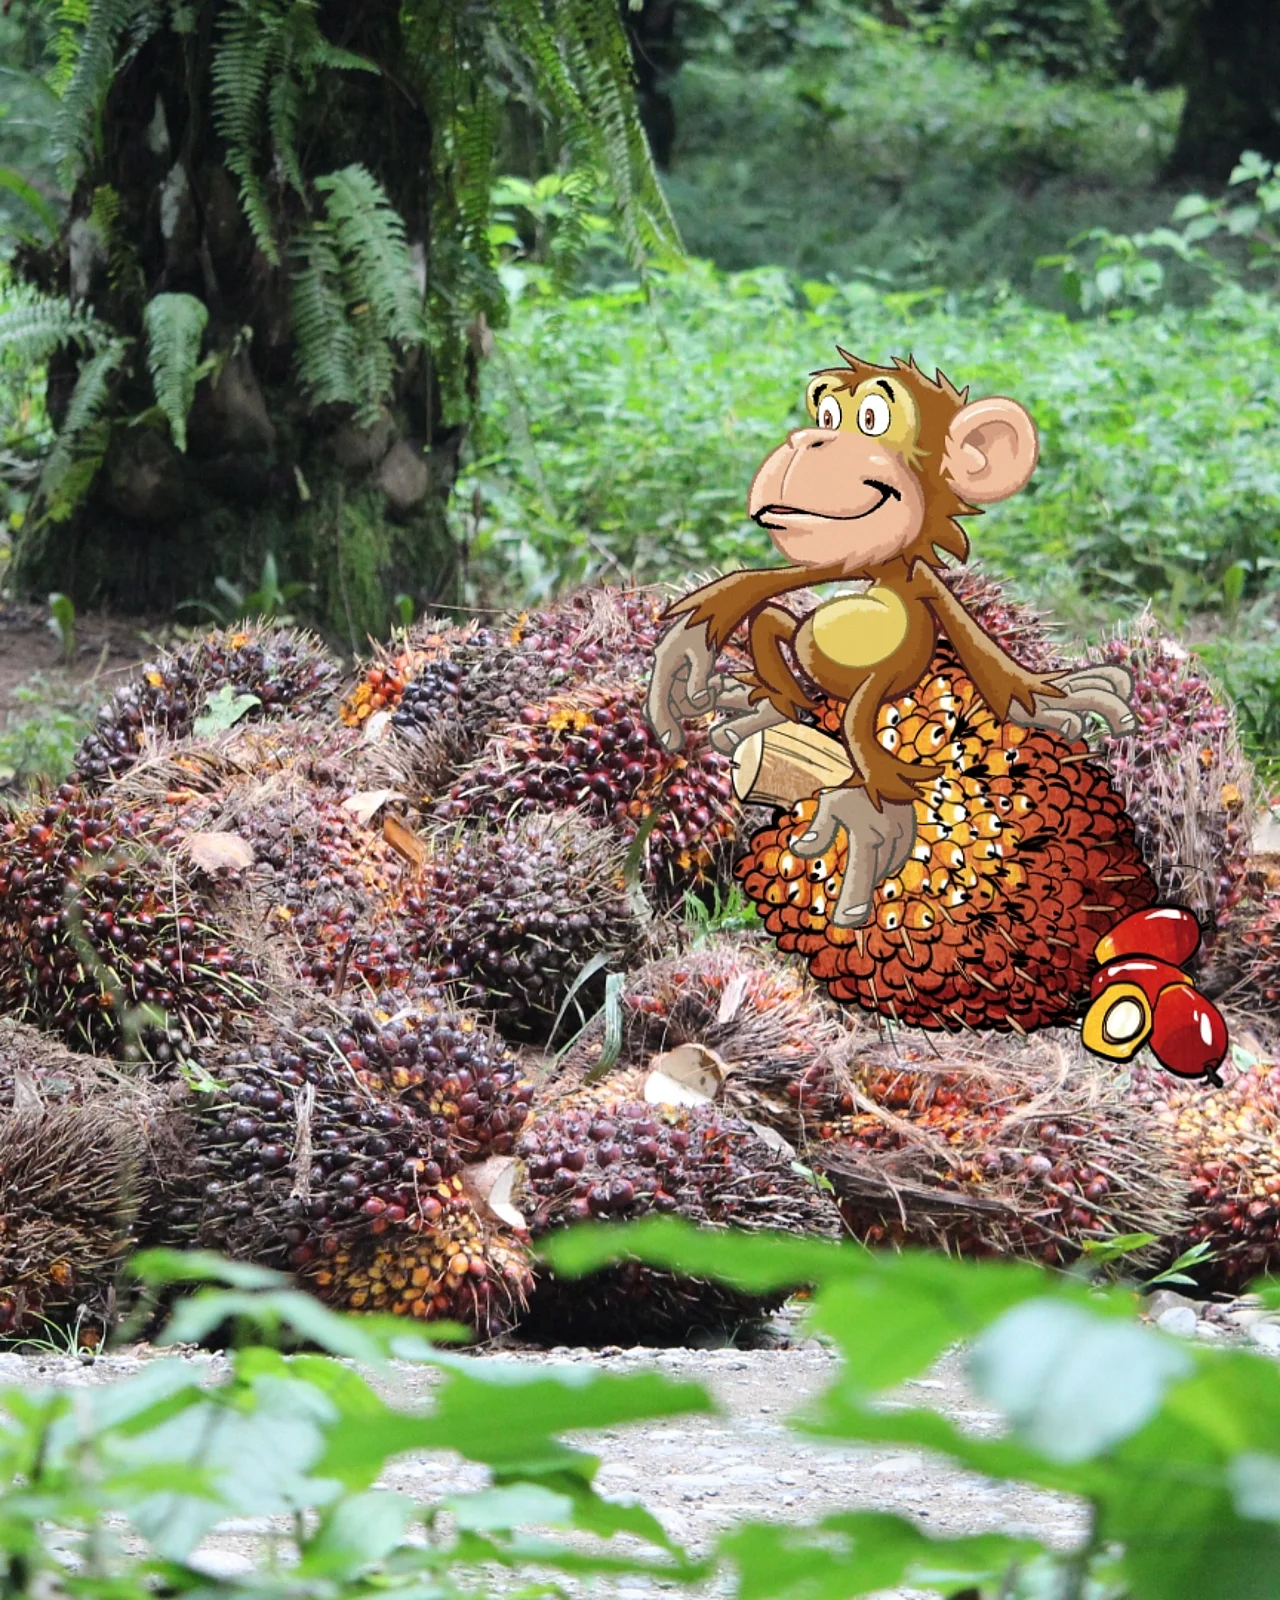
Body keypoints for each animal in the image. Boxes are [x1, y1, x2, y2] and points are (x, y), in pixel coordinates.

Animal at [645, 350, 1136, 930]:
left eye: (873, 418)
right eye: (827, 414)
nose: (804, 440)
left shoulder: (917, 585)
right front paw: (694, 637)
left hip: (872, 687)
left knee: (854, 716)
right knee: (773, 629)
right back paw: (764, 710)